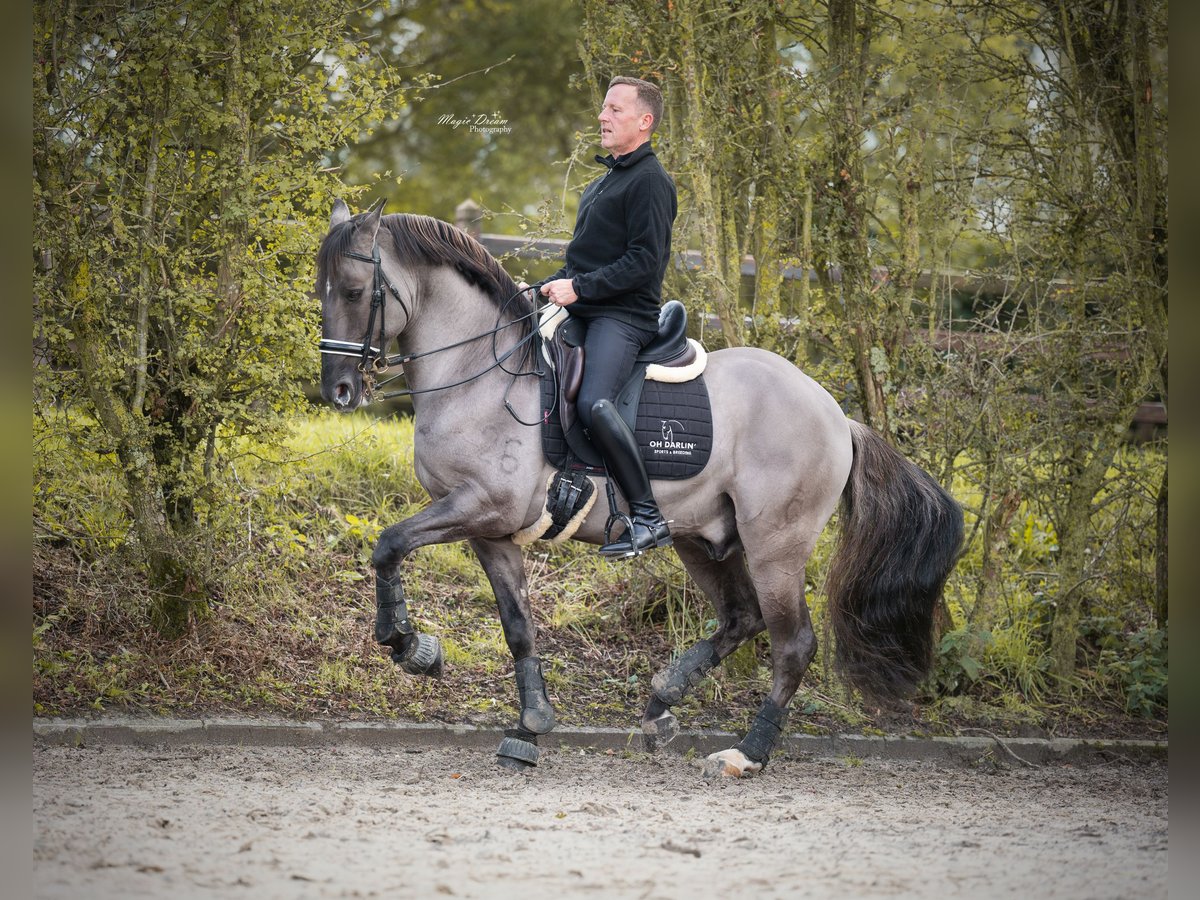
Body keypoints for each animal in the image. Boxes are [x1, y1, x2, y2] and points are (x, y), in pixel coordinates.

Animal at [314, 200, 960, 777]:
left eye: (353, 291)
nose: (340, 390)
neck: (478, 372)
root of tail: (836, 415)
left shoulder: (478, 507)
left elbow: (389, 544)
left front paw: (409, 645)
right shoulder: (490, 531)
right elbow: (518, 626)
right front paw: (529, 727)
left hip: (775, 543)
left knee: (792, 642)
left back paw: (746, 753)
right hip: (703, 538)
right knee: (740, 619)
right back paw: (660, 705)